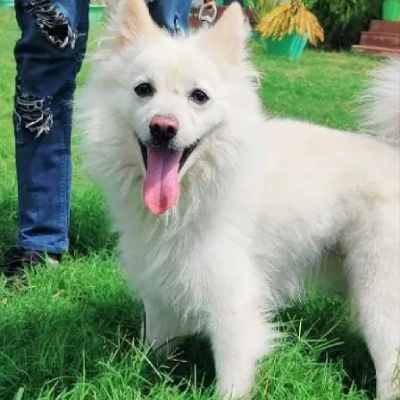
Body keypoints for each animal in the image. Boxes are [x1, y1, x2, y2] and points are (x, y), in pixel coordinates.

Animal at [78, 1, 400, 398]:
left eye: (199, 96)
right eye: (143, 89)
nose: (163, 127)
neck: (193, 195)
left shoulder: (233, 306)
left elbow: (231, 380)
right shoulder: (160, 290)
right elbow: (153, 353)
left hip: (380, 297)